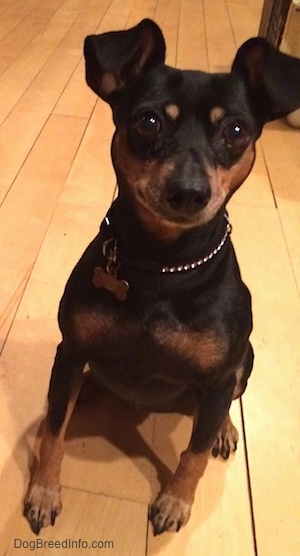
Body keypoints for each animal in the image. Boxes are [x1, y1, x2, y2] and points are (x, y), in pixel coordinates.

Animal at [22, 19, 300, 536]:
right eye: (148, 122)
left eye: (236, 130)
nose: (189, 192)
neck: (163, 264)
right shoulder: (70, 349)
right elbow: (53, 431)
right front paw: (44, 492)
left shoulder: (217, 378)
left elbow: (194, 453)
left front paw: (175, 502)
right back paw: (88, 390)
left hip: (246, 358)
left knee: (228, 401)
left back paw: (225, 429)